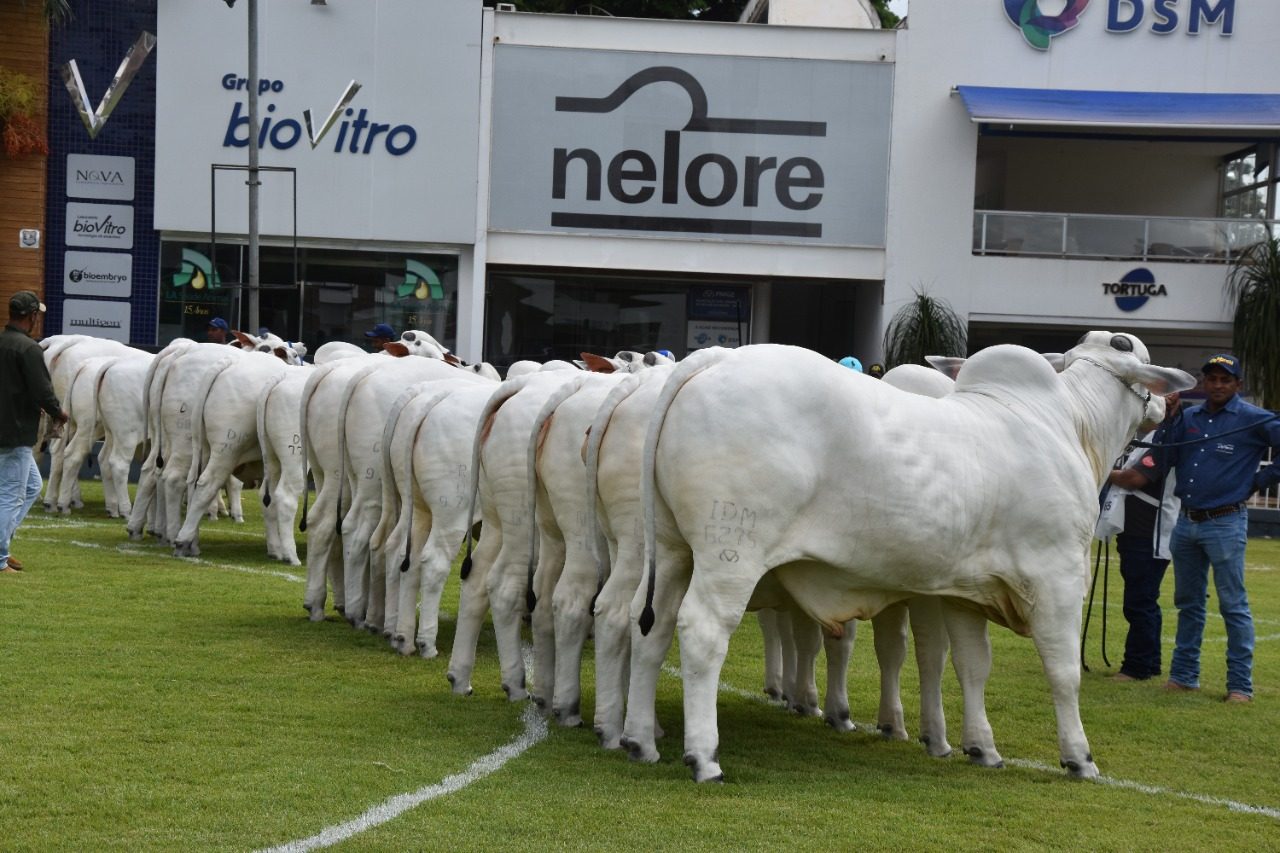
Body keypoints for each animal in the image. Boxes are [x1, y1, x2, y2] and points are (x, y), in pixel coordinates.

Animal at [634, 330, 1192, 778]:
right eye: (1136, 352)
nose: (1165, 408)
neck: (1069, 426)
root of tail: (712, 359)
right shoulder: (1056, 578)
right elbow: (1063, 671)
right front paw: (1079, 757)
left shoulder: (968, 595)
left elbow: (971, 666)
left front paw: (981, 748)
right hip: (731, 551)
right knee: (702, 630)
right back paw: (703, 756)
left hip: (671, 550)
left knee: (651, 625)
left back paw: (641, 740)